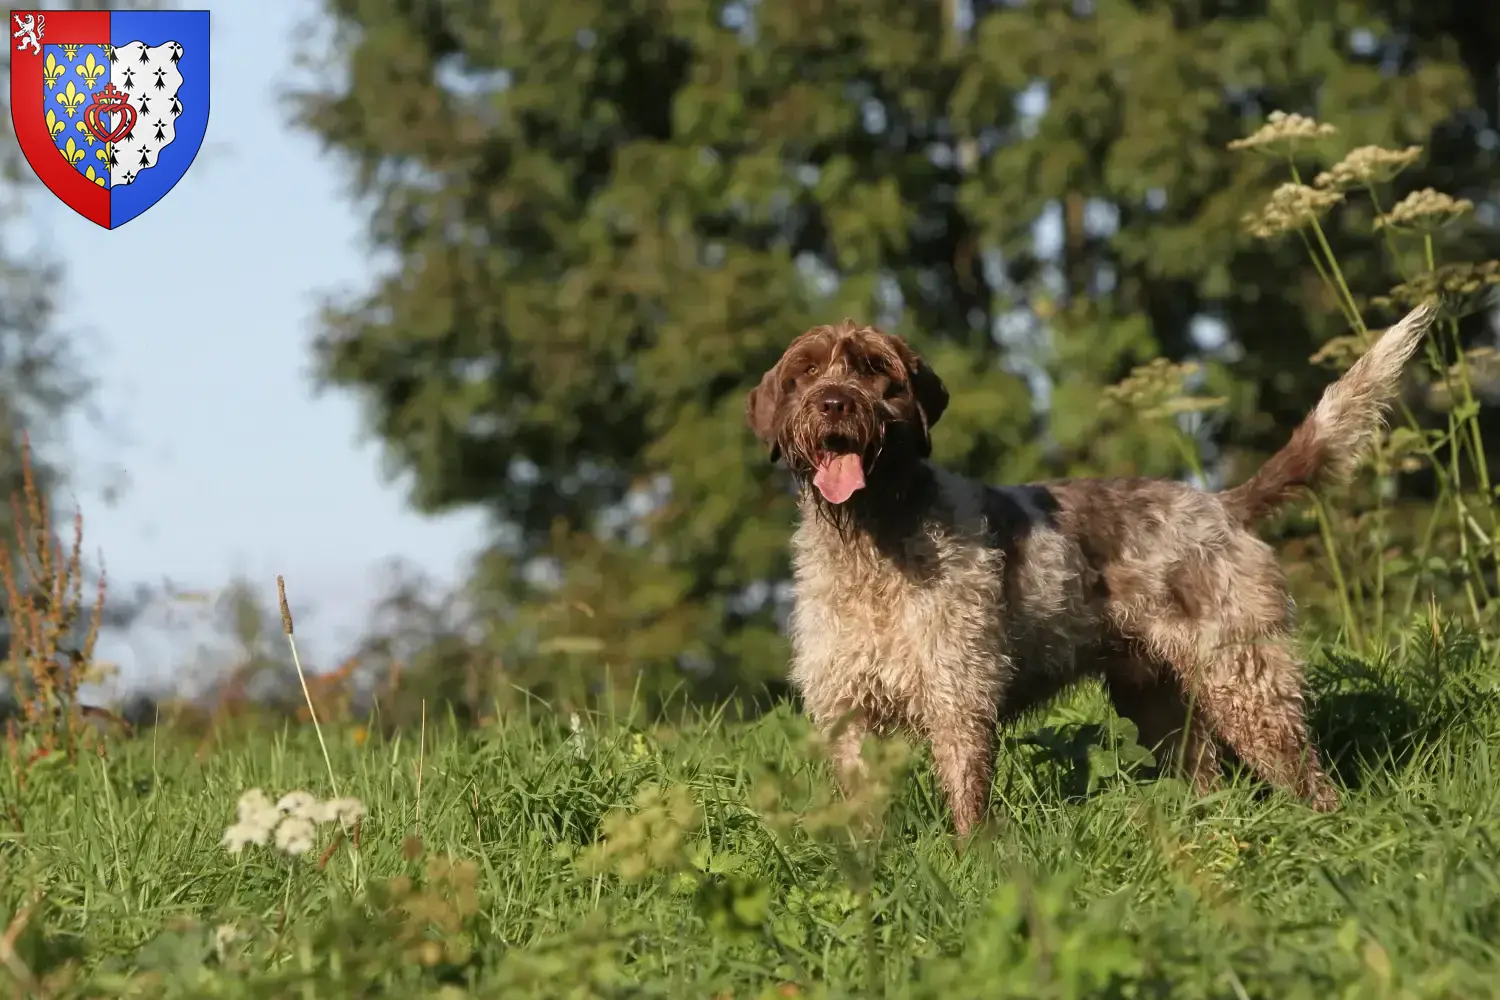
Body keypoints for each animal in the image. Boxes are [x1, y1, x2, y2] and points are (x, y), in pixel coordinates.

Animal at [750, 305, 1440, 839]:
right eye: (805, 373)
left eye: (876, 370)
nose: (834, 403)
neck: (872, 544)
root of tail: (1222, 505)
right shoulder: (846, 711)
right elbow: (863, 810)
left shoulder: (958, 696)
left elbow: (967, 795)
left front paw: (971, 859)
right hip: (1157, 699)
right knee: (1207, 775)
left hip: (1246, 682)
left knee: (1305, 774)